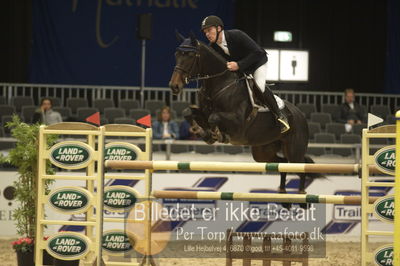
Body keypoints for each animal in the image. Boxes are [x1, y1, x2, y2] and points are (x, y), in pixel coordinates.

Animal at [170, 32, 322, 198]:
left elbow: (214, 117)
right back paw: (282, 194)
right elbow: (189, 112)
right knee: (282, 164)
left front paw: (217, 134)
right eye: (176, 54)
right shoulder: (203, 113)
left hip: (294, 151)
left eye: (190, 55)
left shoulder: (238, 123)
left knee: (300, 170)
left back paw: (301, 194)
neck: (220, 85)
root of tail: (301, 115)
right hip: (263, 151)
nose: (174, 86)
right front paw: (203, 132)